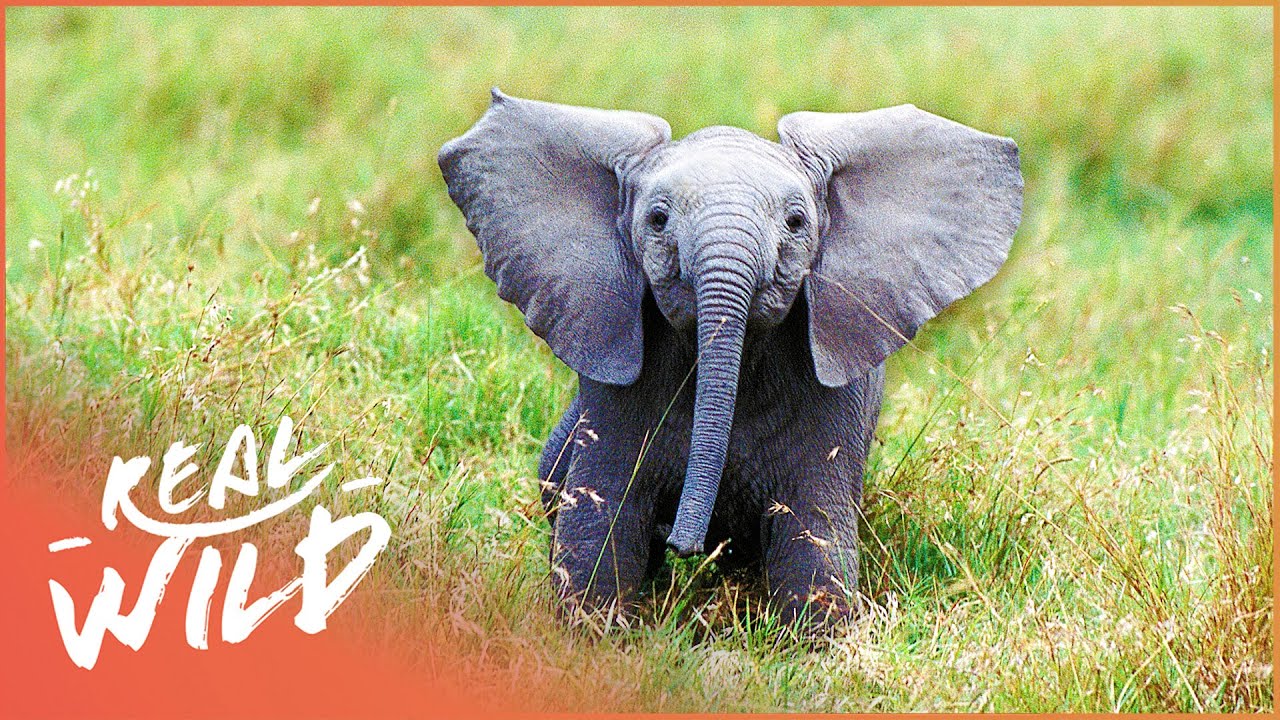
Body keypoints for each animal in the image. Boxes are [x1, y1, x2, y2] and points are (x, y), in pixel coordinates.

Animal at [438, 89, 1022, 628]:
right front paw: (592, 634)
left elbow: (812, 534)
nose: (685, 543)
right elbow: (602, 522)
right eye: (657, 219)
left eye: (796, 222)